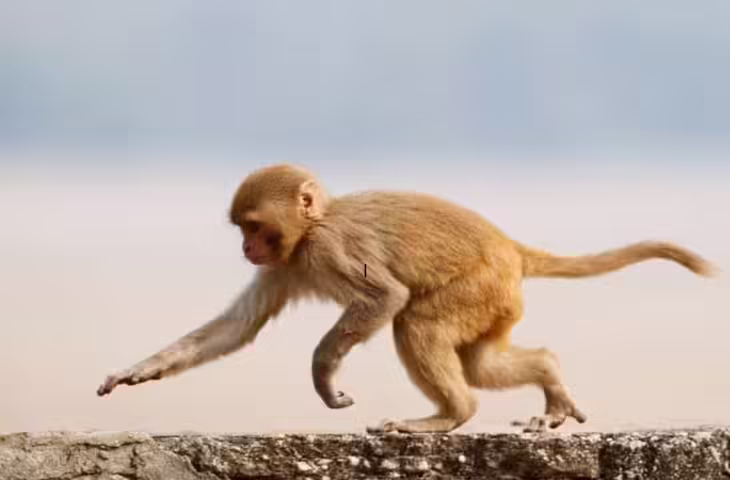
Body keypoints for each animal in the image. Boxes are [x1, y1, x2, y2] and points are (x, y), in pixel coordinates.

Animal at [97, 163, 714, 433]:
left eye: (254, 226)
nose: (248, 248)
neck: (311, 227)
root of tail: (509, 247)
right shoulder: (286, 264)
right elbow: (237, 327)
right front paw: (137, 371)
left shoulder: (324, 247)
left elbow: (384, 297)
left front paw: (324, 375)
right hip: (498, 304)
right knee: (482, 361)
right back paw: (548, 375)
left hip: (479, 286)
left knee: (416, 322)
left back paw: (449, 416)